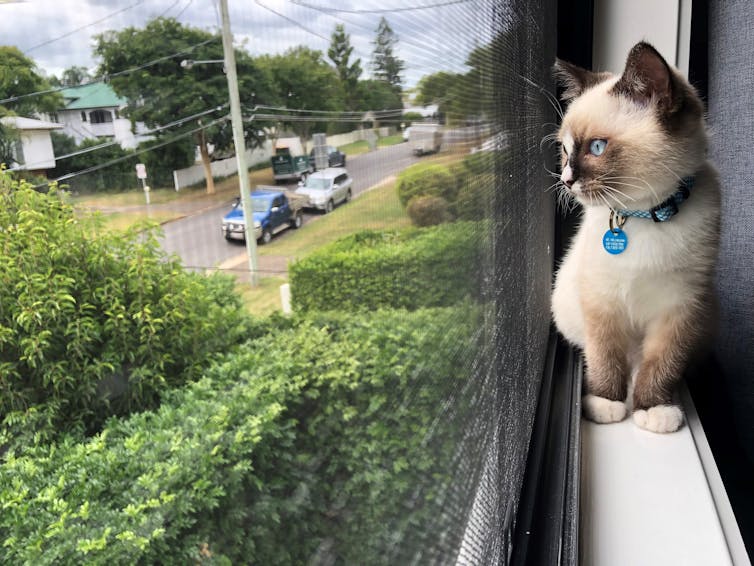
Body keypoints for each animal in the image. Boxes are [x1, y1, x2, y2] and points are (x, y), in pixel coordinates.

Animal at [548, 43, 720, 434]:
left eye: (596, 148)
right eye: (565, 150)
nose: (566, 181)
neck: (643, 216)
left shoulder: (680, 309)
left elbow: (662, 364)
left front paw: (653, 409)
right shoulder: (601, 302)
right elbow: (605, 358)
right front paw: (606, 403)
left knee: (643, 361)